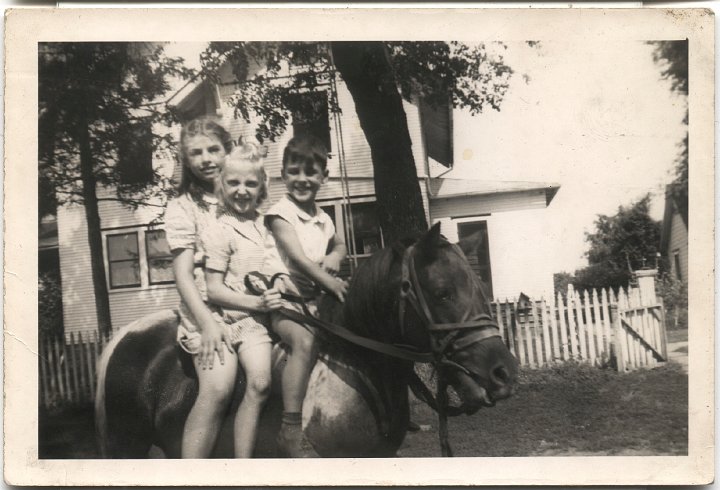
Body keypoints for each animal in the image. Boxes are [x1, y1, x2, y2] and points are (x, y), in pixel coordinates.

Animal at [98, 224, 520, 458]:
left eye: (480, 287)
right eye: (442, 292)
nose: (504, 372)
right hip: (126, 446)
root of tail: (120, 338)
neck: (357, 366)